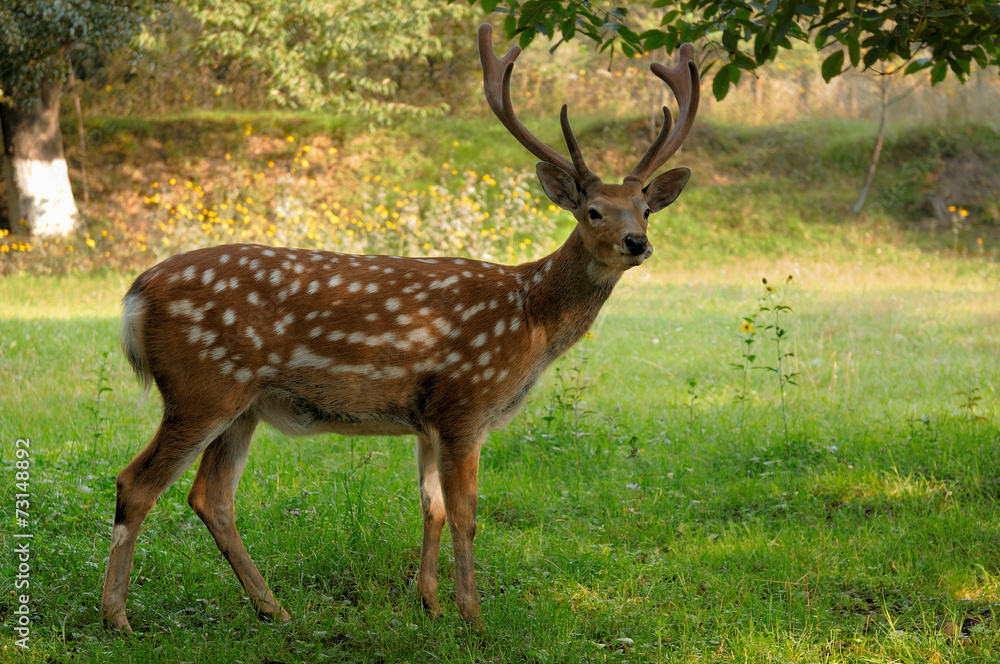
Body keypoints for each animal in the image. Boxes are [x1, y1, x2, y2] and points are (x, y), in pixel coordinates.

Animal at [101, 24, 699, 632]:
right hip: (200, 386)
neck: (529, 320)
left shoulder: (428, 418)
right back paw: (117, 617)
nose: (637, 242)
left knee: (210, 496)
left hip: (242, 405)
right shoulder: (465, 402)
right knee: (137, 482)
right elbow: (465, 514)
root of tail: (135, 295)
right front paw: (472, 618)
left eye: (645, 208)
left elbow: (430, 507)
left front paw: (429, 604)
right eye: (593, 210)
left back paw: (274, 608)